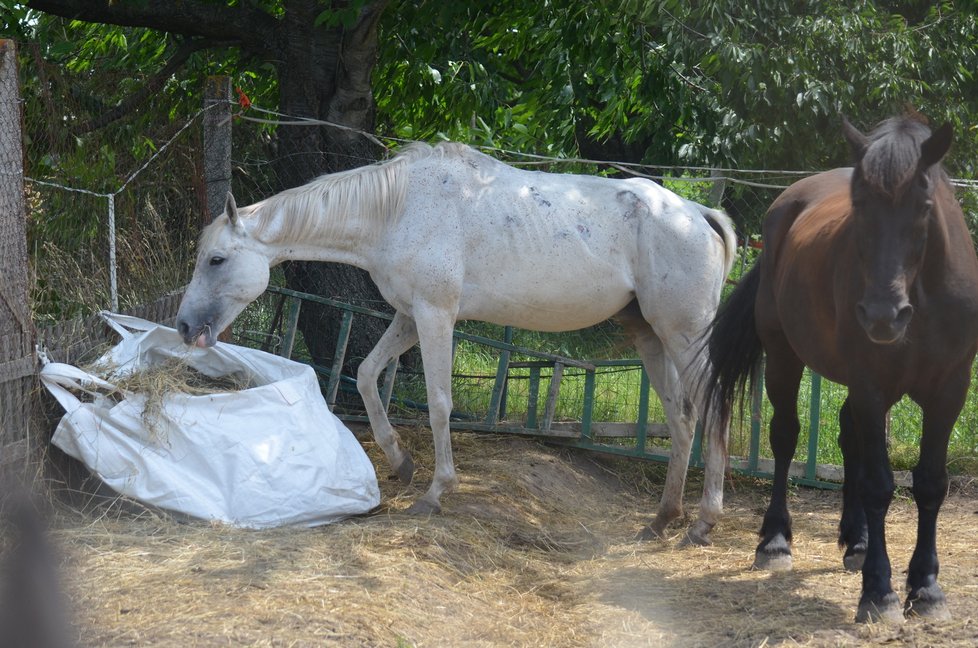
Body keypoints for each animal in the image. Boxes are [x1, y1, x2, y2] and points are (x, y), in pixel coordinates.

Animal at [179, 144, 736, 544]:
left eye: (216, 260)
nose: (185, 327)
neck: (398, 210)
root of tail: (698, 213)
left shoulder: (435, 315)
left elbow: (439, 403)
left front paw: (435, 492)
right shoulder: (409, 316)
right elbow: (367, 375)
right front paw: (401, 462)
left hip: (685, 335)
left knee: (710, 414)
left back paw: (702, 523)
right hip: (651, 336)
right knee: (681, 418)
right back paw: (662, 520)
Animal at [704, 115, 976, 624]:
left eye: (925, 205)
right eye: (860, 205)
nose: (883, 316)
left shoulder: (948, 390)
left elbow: (930, 484)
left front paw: (926, 588)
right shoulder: (871, 385)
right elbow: (878, 485)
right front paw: (879, 592)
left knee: (849, 437)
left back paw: (858, 541)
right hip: (784, 357)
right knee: (786, 436)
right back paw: (775, 542)